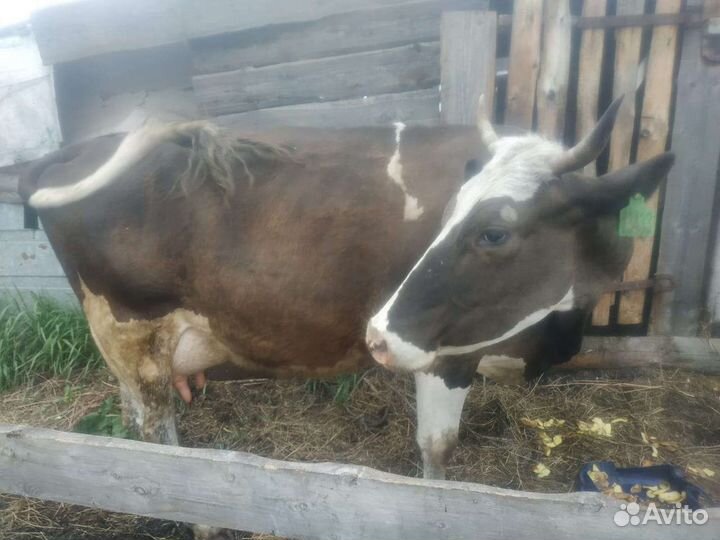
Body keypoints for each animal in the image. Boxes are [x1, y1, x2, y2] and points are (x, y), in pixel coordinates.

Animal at [20, 98, 672, 488]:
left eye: (492, 230)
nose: (378, 332)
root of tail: (74, 150)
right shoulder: (444, 351)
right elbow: (438, 449)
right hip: (130, 328)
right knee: (159, 443)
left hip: (131, 350)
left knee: (139, 425)